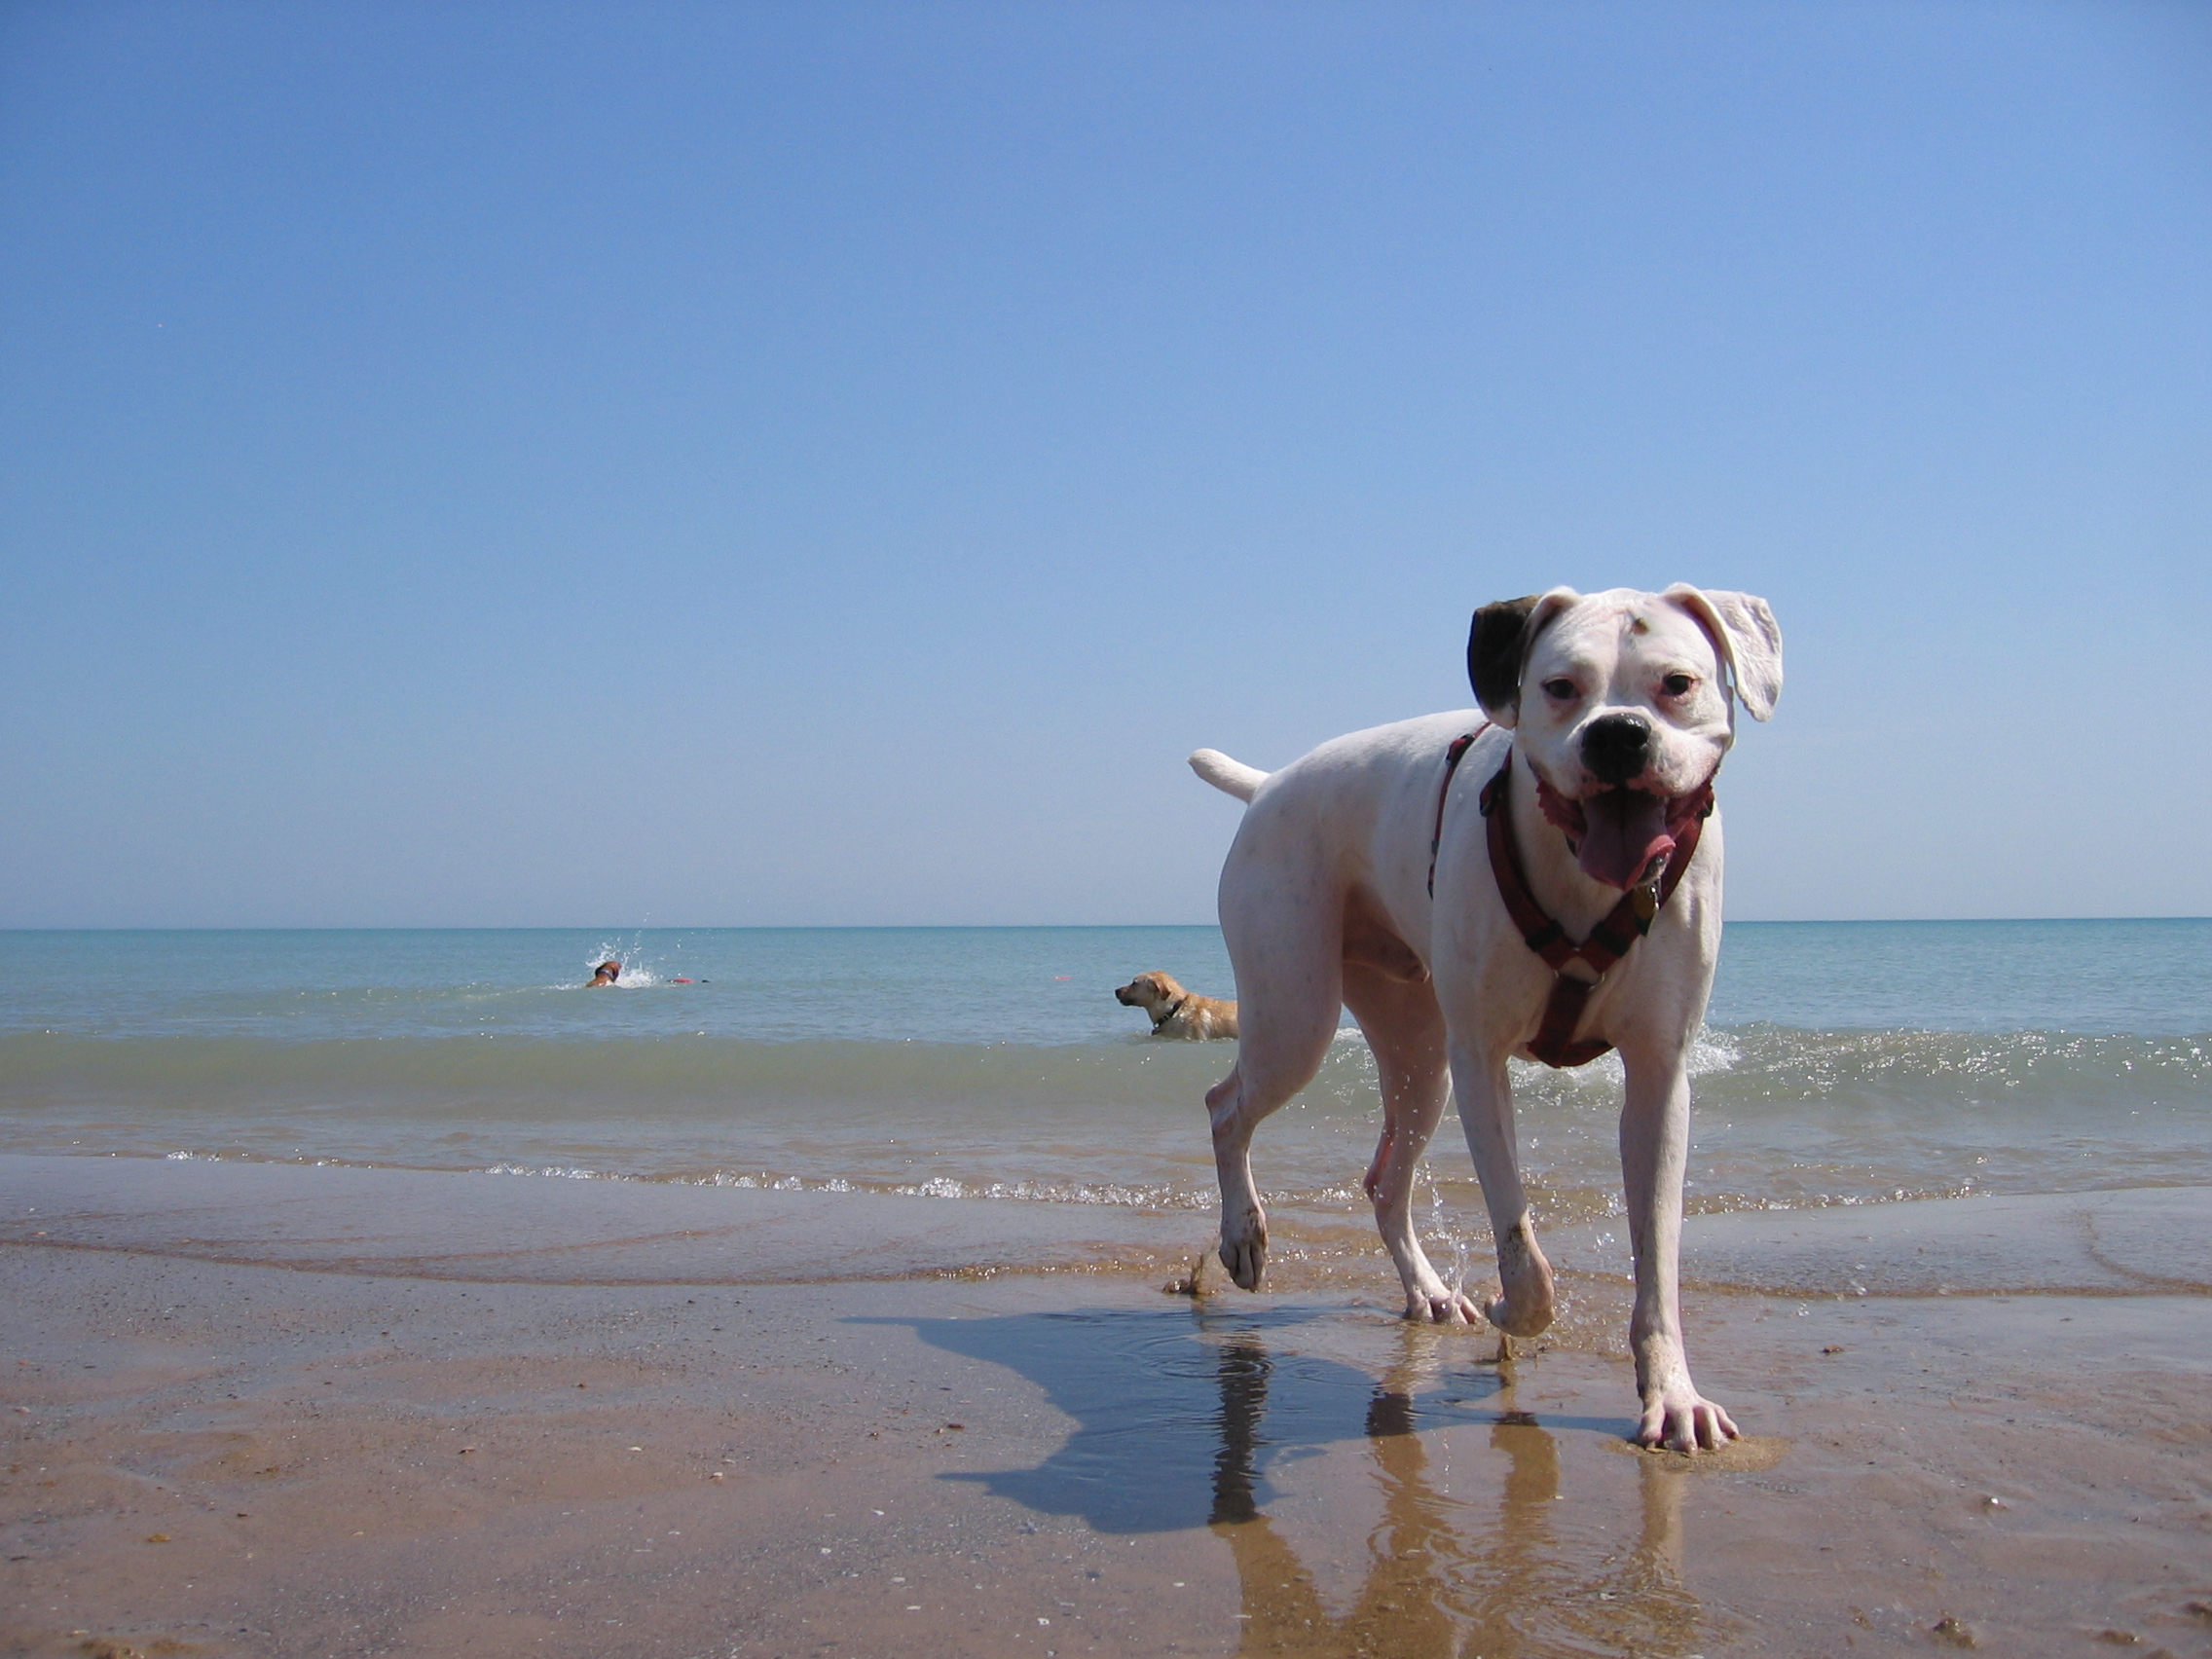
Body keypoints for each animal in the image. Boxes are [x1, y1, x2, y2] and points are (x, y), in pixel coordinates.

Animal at [1194, 588, 1778, 1451]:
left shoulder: (1659, 1079)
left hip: (1417, 1059)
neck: (1581, 879)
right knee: (1226, 1107)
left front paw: (1672, 1394)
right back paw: (1243, 1236)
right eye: (1560, 687)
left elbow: (1658, 1261)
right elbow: (1522, 1251)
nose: (1618, 734)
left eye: (1677, 684)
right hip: (1298, 1018)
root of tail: (1270, 785)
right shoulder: (1483, 1061)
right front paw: (1513, 1307)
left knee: (1385, 1180)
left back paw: (1429, 1291)